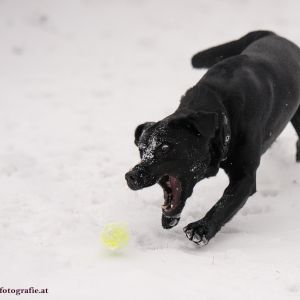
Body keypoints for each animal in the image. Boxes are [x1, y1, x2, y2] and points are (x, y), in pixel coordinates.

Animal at [124, 31, 300, 246]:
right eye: (141, 149)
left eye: (165, 147)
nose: (131, 175)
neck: (222, 110)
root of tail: (274, 35)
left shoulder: (245, 177)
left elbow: (226, 203)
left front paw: (201, 228)